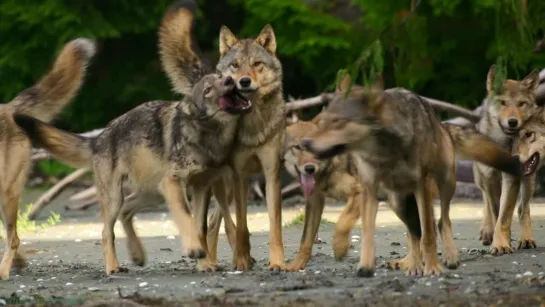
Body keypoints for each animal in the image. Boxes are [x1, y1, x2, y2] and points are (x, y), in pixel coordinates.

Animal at [0, 38, 95, 282]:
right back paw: (18, 263)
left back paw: (6, 270)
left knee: (13, 238)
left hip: (6, 195)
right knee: (13, 238)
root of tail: (8, 107)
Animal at [12, 73, 251, 276]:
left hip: (153, 195)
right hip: (119, 198)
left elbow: (200, 228)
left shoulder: (202, 188)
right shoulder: (174, 183)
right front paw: (194, 251)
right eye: (208, 90)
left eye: (221, 77)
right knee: (106, 232)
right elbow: (186, 218)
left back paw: (137, 254)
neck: (208, 137)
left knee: (127, 212)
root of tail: (98, 138)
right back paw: (113, 268)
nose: (230, 80)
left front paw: (205, 263)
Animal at [157, 0, 284, 270]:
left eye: (256, 64)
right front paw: (242, 260)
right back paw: (211, 261)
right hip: (217, 184)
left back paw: (213, 260)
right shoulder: (239, 176)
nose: (243, 81)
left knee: (215, 222)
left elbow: (274, 226)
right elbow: (242, 226)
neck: (252, 125)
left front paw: (277, 262)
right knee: (214, 224)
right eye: (235, 65)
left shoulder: (271, 174)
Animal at [300, 75, 528, 280]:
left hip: (446, 184)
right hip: (398, 203)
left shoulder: (422, 186)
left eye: (337, 122)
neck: (385, 152)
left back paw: (449, 257)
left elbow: (429, 235)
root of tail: (442, 124)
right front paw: (364, 266)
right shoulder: (368, 189)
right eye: (322, 122)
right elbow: (367, 232)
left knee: (441, 221)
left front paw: (433, 268)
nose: (305, 143)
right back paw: (414, 266)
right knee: (413, 233)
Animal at [472, 65, 540, 253]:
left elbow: (505, 214)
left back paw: (526, 239)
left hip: (529, 178)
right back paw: (486, 232)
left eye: (521, 103)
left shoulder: (511, 177)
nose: (513, 122)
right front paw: (499, 241)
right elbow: (496, 212)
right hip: (480, 179)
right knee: (486, 203)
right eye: (502, 102)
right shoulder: (489, 178)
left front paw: (502, 243)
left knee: (523, 208)